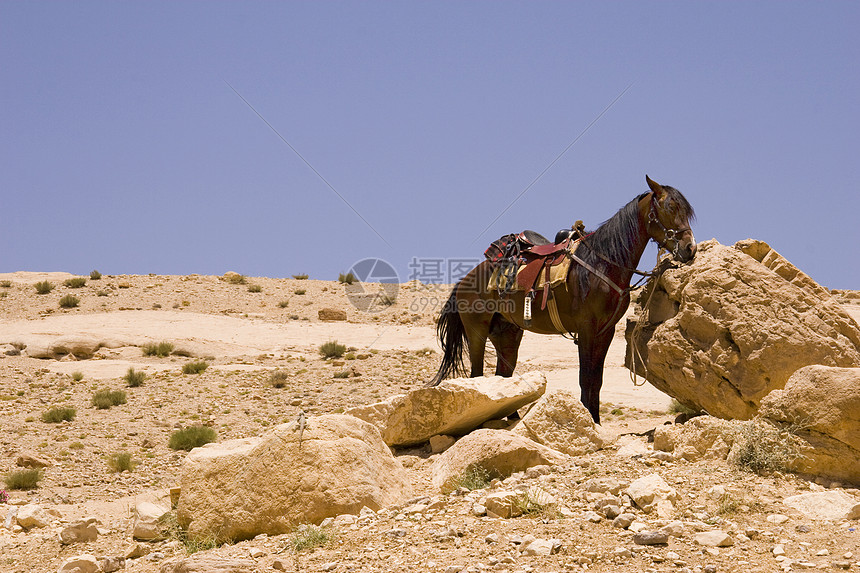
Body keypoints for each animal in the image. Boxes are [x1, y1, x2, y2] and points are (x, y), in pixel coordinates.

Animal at [434, 173, 696, 420]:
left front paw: (595, 420)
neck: (602, 263)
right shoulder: (587, 328)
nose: (690, 248)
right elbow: (586, 378)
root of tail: (464, 279)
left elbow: (597, 380)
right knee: (477, 375)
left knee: (503, 375)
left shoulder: (606, 331)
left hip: (507, 333)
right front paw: (589, 419)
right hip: (477, 331)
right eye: (670, 208)